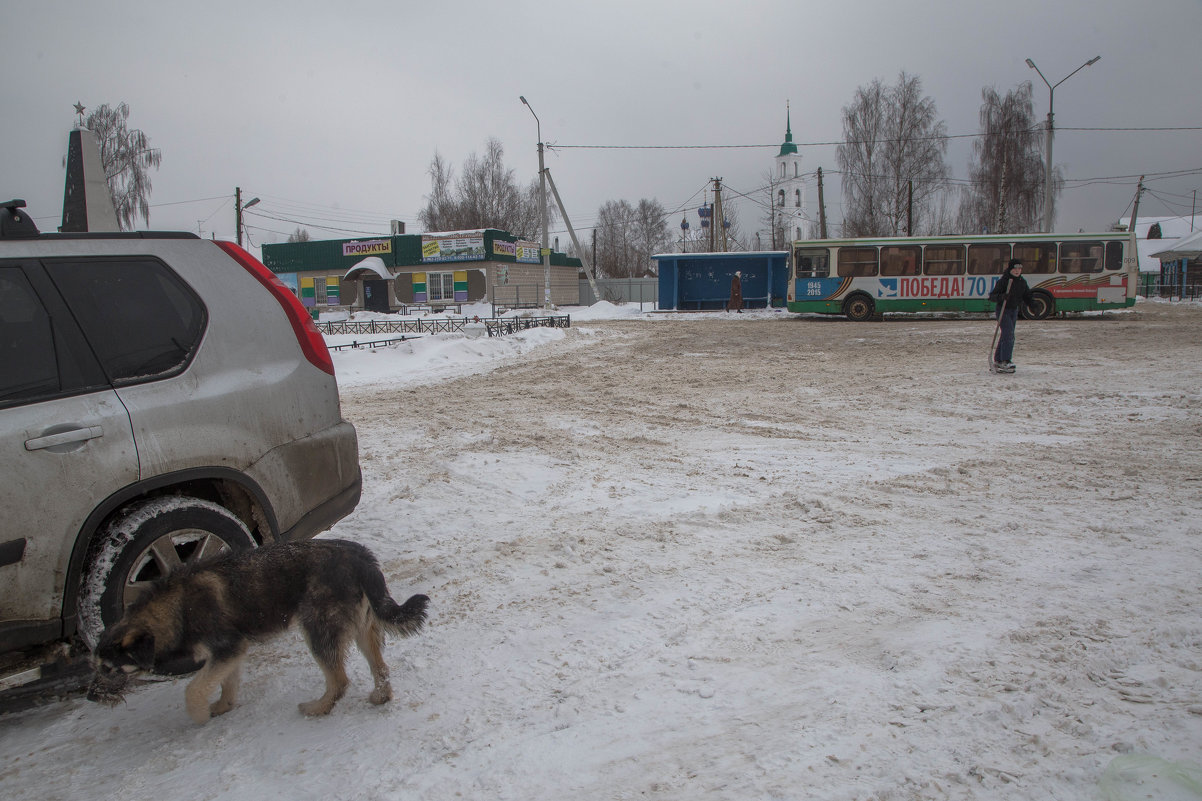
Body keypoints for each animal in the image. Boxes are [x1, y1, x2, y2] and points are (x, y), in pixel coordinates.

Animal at [88, 538, 427, 721]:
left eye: (109, 668)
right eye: (97, 666)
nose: (90, 697)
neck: (176, 605)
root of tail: (361, 556)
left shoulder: (227, 647)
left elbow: (193, 689)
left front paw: (199, 715)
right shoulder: (229, 653)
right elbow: (225, 683)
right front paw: (222, 706)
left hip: (318, 629)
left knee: (340, 680)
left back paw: (318, 708)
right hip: (363, 627)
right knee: (380, 668)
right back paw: (379, 696)